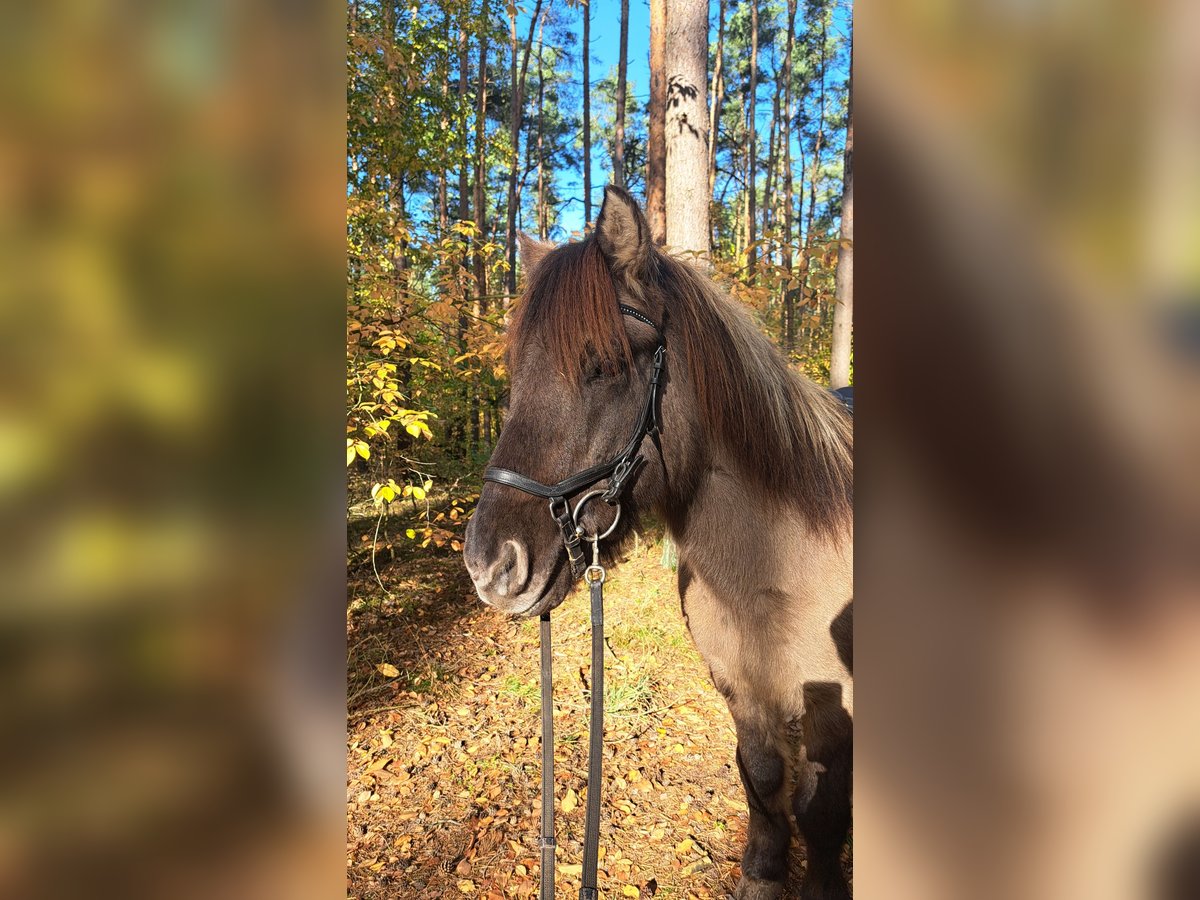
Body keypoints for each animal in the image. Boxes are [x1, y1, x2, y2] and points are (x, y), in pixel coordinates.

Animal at [460, 184, 854, 900]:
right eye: (514, 373)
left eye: (605, 366)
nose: (490, 566)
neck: (776, 567)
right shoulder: (740, 688)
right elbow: (762, 779)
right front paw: (762, 873)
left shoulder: (832, 722)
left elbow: (822, 816)